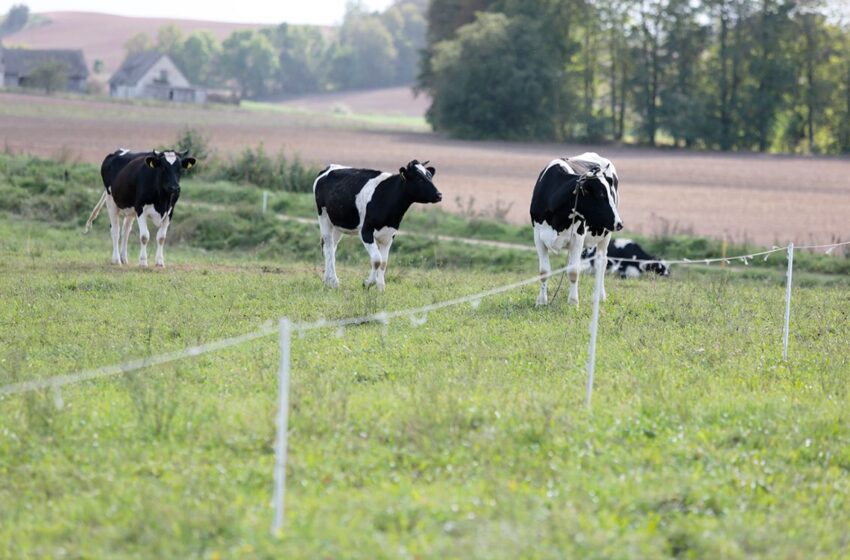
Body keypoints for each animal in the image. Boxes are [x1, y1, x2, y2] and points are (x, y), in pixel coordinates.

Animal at [314, 160, 444, 290]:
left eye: (429, 176)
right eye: (419, 178)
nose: (439, 195)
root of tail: (329, 168)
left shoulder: (389, 234)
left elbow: (384, 262)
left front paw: (381, 287)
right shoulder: (366, 231)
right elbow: (377, 260)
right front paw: (368, 283)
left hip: (337, 224)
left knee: (330, 247)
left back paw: (327, 281)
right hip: (323, 217)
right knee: (329, 248)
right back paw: (334, 282)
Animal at [528, 153, 624, 306]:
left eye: (611, 194)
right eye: (601, 195)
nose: (620, 223)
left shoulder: (578, 237)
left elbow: (573, 271)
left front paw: (573, 302)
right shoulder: (538, 236)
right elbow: (544, 272)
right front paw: (541, 301)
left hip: (606, 234)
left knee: (601, 262)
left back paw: (600, 296)